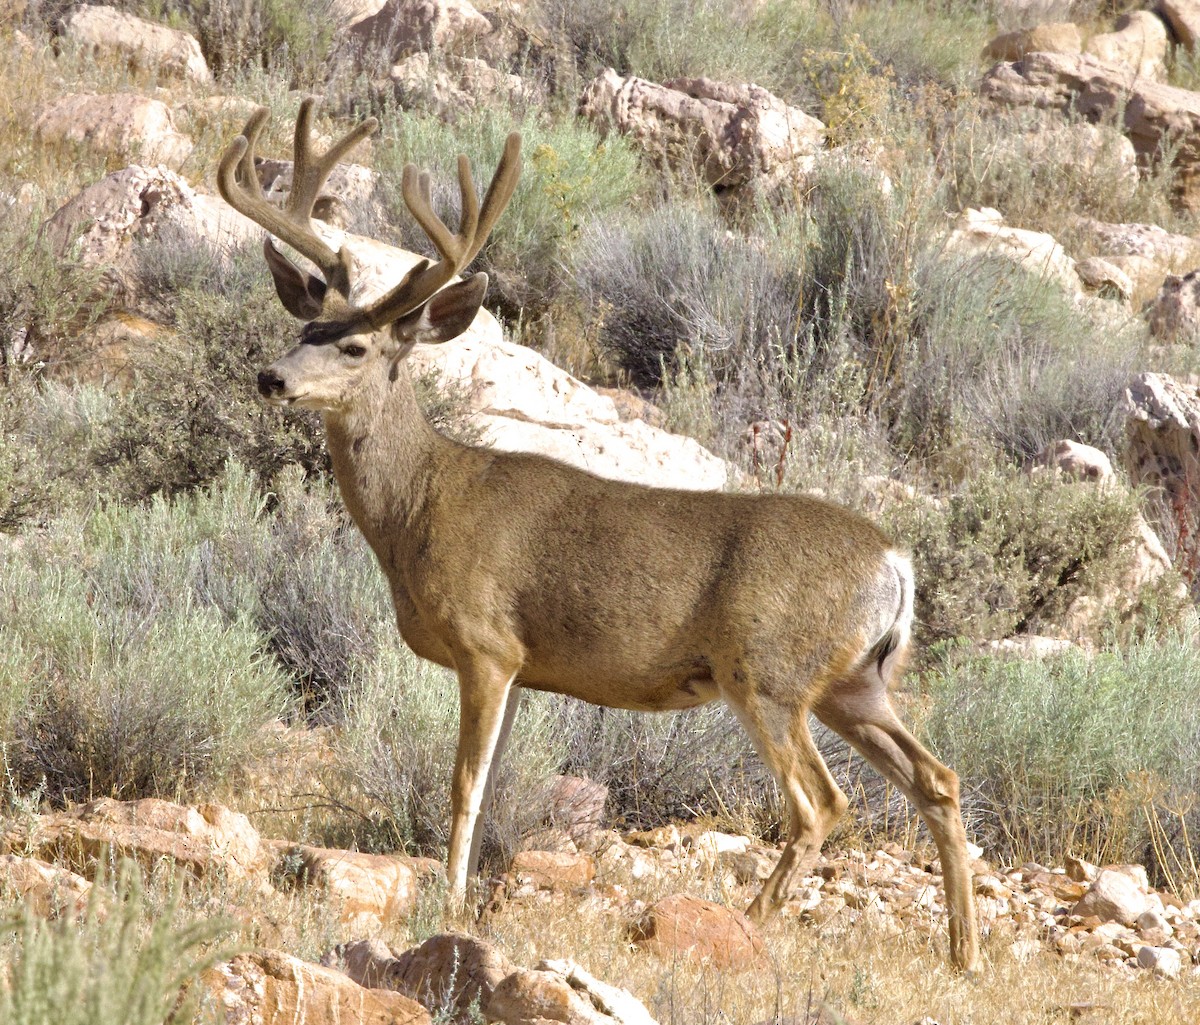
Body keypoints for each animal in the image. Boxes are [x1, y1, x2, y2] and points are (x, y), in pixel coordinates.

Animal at [219, 100, 980, 973]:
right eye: (305, 324)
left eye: (355, 345)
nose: (270, 377)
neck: (419, 509)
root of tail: (896, 562)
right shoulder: (523, 665)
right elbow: (496, 782)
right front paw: (474, 896)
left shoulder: (486, 643)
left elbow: (463, 784)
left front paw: (448, 902)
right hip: (856, 680)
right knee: (939, 778)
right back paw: (965, 950)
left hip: (769, 669)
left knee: (823, 802)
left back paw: (753, 919)